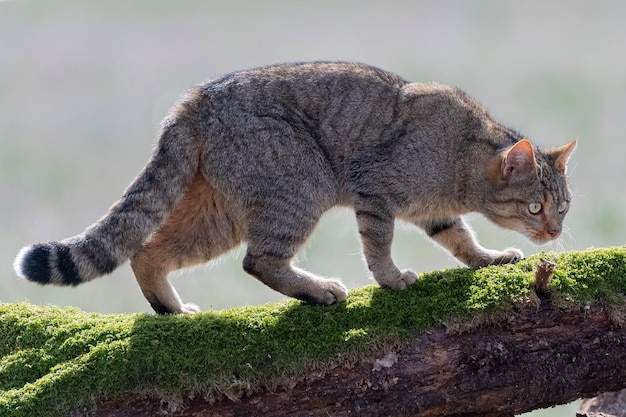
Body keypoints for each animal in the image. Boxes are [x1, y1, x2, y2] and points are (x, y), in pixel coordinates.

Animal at [13, 61, 576, 314]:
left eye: (564, 208)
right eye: (535, 207)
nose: (553, 232)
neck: (463, 157)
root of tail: (192, 101)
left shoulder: (433, 212)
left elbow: (461, 240)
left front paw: (489, 258)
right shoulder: (373, 187)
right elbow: (379, 245)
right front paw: (391, 279)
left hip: (219, 213)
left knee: (146, 251)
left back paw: (171, 311)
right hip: (301, 185)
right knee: (258, 260)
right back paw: (317, 289)